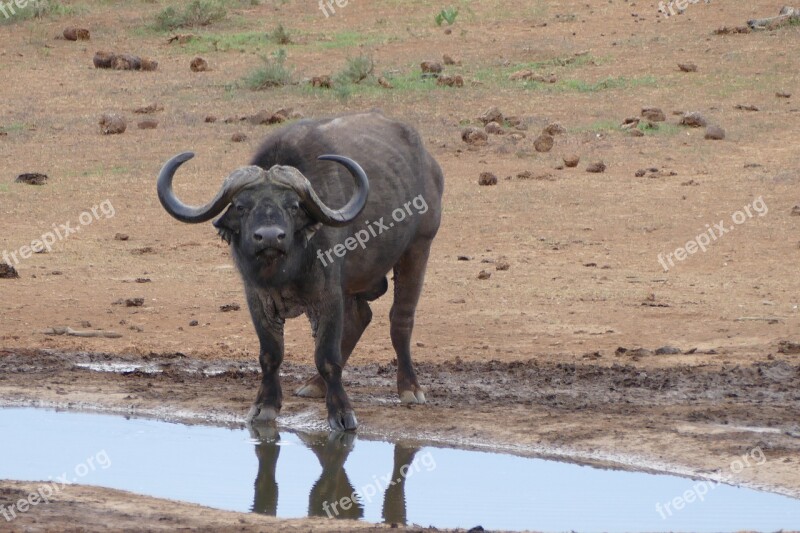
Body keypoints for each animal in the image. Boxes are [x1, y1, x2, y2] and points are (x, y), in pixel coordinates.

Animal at [156, 110, 444, 430]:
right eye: (242, 206)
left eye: (293, 205)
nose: (270, 237)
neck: (286, 269)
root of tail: (428, 163)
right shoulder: (257, 298)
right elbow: (270, 354)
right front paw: (265, 406)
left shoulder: (328, 295)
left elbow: (327, 356)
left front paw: (342, 414)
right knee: (361, 316)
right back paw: (314, 385)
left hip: (419, 246)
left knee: (400, 319)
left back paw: (410, 388)